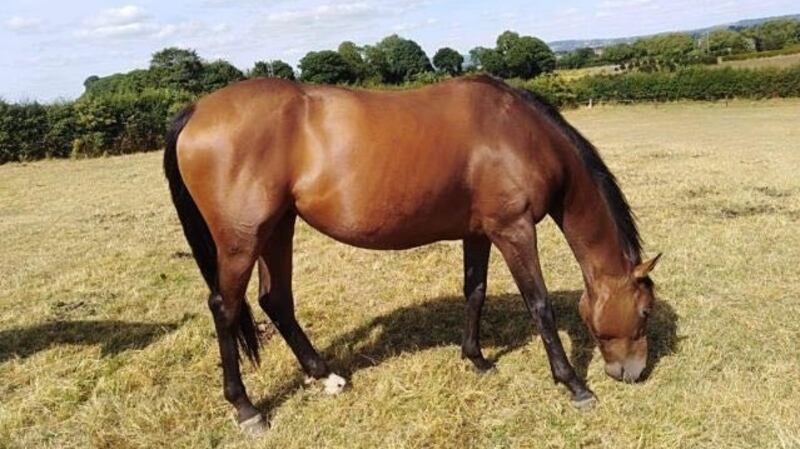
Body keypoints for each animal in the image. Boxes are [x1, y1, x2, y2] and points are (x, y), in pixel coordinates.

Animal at [163, 74, 661, 433]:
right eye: (645, 312)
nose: (633, 373)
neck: (519, 133)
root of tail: (196, 110)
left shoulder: (479, 233)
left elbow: (475, 290)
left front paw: (476, 358)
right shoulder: (513, 230)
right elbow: (538, 304)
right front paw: (574, 384)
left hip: (277, 227)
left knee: (275, 300)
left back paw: (326, 376)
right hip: (241, 240)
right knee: (225, 308)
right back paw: (246, 408)